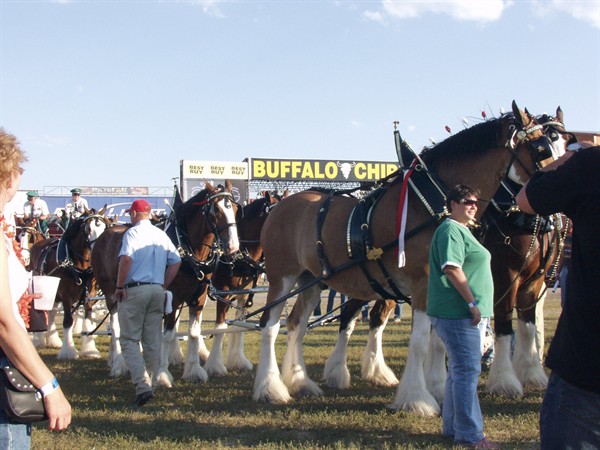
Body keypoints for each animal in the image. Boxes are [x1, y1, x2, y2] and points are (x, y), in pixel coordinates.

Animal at [29, 209, 111, 360]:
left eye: (104, 227)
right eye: (88, 229)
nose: (99, 249)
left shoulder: (89, 296)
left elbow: (88, 321)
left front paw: (90, 350)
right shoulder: (66, 295)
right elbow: (68, 321)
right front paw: (68, 351)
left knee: (52, 313)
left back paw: (53, 340)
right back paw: (38, 339)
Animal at [252, 101, 552, 412]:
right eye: (542, 149)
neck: (433, 204)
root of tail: (282, 205)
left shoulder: (444, 285)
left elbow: (439, 341)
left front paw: (439, 389)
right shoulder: (423, 284)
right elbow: (420, 342)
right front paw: (417, 398)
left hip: (311, 281)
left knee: (296, 325)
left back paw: (300, 383)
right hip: (281, 278)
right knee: (269, 326)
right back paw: (270, 388)